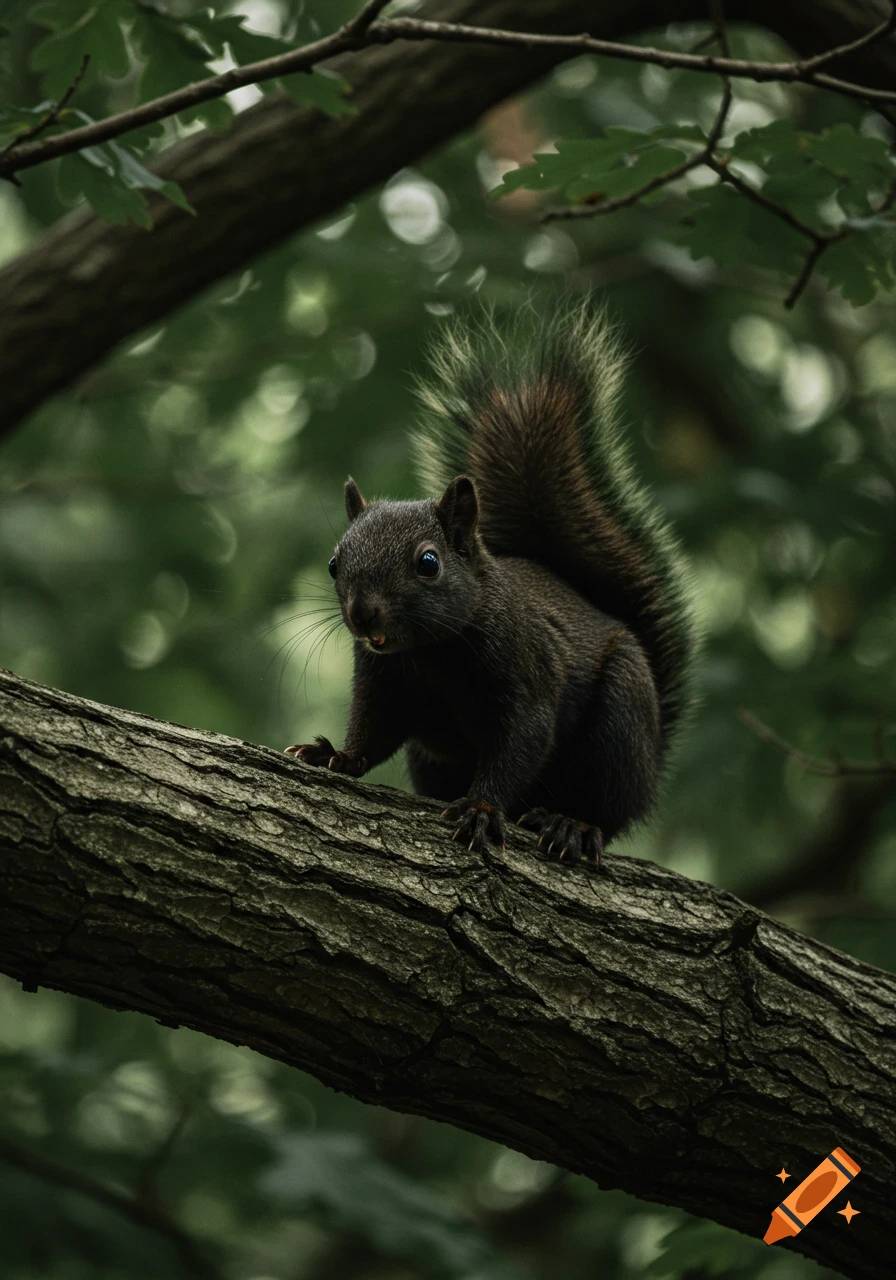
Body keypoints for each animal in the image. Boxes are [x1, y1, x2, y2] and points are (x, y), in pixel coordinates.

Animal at [285, 304, 698, 864]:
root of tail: (653, 763)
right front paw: (333, 754)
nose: (362, 614)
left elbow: (519, 745)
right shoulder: (381, 679)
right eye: (333, 563)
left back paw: (571, 824)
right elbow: (373, 729)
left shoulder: (527, 675)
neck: (431, 653)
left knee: (607, 810)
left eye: (429, 562)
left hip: (622, 721)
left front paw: (481, 810)